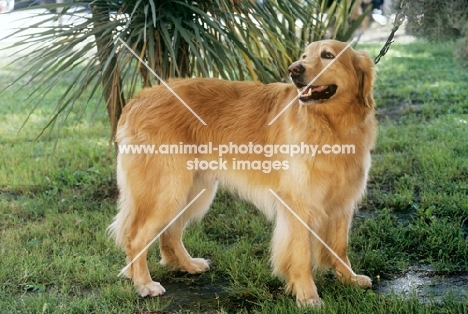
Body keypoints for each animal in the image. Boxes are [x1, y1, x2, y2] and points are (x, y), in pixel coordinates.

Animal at [109, 39, 376, 306]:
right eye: (304, 56)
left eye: (328, 55)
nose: (293, 70)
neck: (331, 126)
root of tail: (137, 100)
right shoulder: (297, 203)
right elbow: (301, 254)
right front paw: (307, 295)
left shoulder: (342, 203)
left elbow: (340, 247)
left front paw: (349, 278)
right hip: (167, 191)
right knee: (136, 237)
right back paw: (144, 283)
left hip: (192, 190)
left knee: (170, 233)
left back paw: (186, 265)